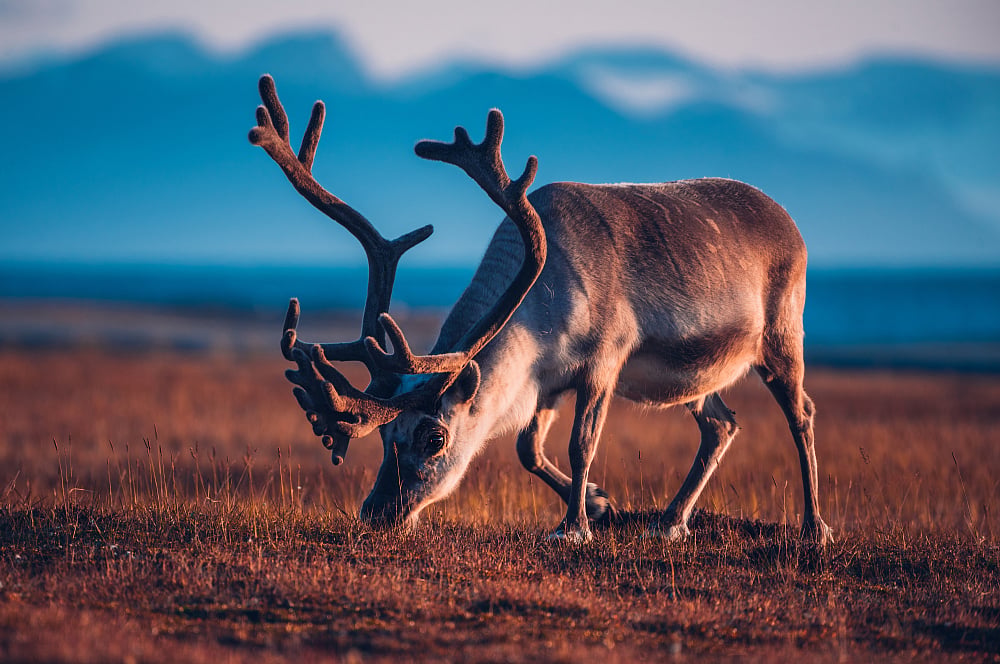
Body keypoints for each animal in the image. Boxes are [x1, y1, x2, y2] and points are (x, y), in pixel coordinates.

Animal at [249, 74, 832, 545]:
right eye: (386, 437)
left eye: (433, 437)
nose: (375, 513)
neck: (541, 296)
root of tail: (790, 222)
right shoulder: (547, 380)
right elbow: (528, 449)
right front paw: (598, 504)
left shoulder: (602, 364)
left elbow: (581, 445)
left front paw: (574, 528)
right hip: (699, 375)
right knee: (720, 425)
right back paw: (669, 522)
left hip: (782, 338)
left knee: (801, 414)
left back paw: (814, 527)